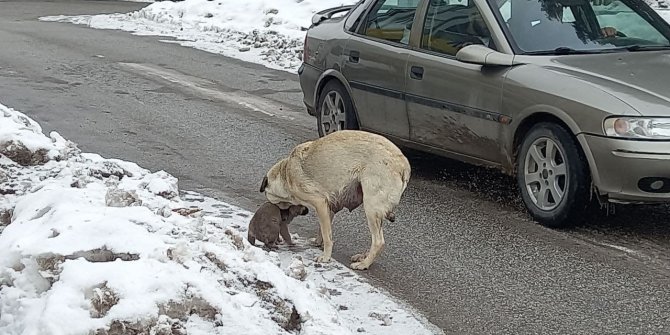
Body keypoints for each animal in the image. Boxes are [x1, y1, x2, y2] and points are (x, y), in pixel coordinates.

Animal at [260, 130, 412, 272]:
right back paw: (363, 256)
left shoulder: (320, 203)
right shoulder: (329, 207)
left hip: (371, 208)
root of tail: (404, 165)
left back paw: (364, 264)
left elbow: (327, 235)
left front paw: (325, 257)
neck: (285, 173)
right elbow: (323, 230)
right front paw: (317, 242)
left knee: (378, 242)